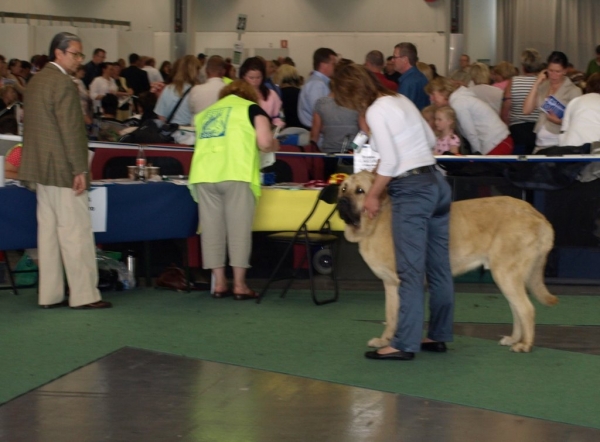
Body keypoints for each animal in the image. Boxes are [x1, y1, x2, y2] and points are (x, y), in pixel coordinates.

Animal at [338, 170, 556, 352]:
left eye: (360, 191)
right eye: (343, 188)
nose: (341, 202)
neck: (377, 220)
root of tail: (537, 215)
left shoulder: (406, 281)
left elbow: (402, 315)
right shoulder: (390, 284)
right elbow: (391, 316)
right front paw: (385, 340)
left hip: (505, 274)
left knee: (527, 309)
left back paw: (525, 345)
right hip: (506, 277)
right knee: (517, 308)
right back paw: (514, 339)